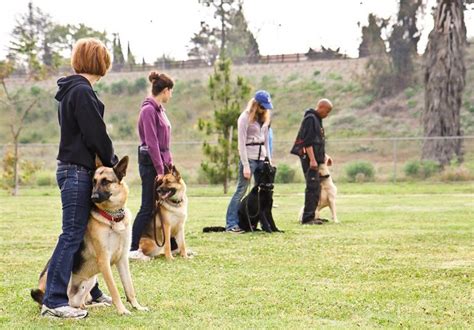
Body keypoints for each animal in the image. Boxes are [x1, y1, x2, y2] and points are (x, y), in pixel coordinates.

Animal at [30, 156, 147, 316]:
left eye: (106, 181)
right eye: (94, 181)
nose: (93, 197)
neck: (113, 217)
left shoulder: (122, 259)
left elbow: (129, 287)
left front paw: (137, 306)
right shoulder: (104, 261)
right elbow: (114, 289)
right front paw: (122, 310)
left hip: (90, 281)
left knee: (81, 305)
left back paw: (99, 305)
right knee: (71, 303)